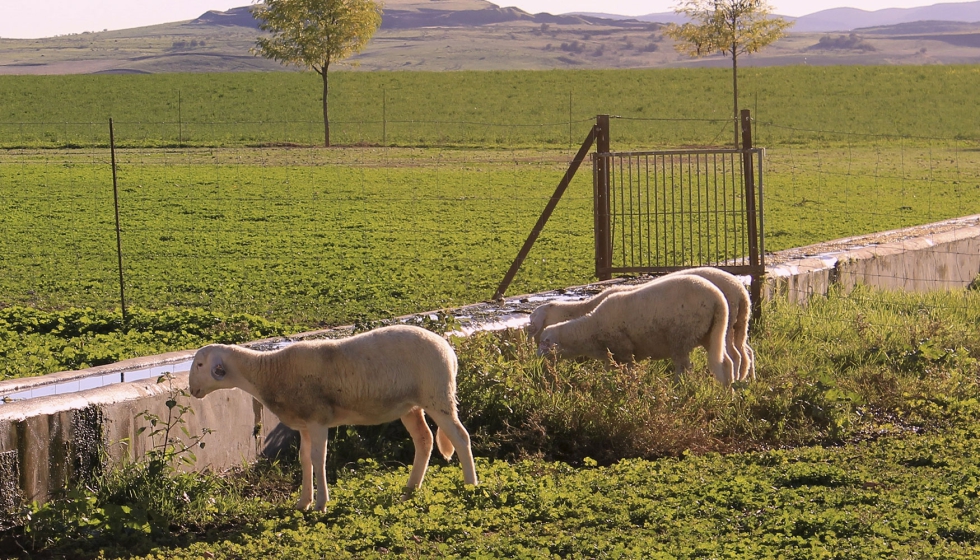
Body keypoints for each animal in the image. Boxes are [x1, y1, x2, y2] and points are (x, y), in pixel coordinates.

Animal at [188, 324, 478, 512]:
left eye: (200, 364)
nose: (192, 390)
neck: (269, 372)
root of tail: (449, 349)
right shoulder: (303, 424)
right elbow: (304, 459)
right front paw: (303, 503)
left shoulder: (318, 420)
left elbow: (319, 458)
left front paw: (320, 504)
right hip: (410, 405)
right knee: (424, 440)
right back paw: (410, 491)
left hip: (437, 396)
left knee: (460, 437)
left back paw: (470, 485)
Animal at [528, 266, 756, 380]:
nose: (535, 359)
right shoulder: (612, 357)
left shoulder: (624, 351)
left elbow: (628, 374)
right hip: (723, 329)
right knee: (735, 357)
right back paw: (735, 387)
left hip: (683, 336)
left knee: (688, 368)